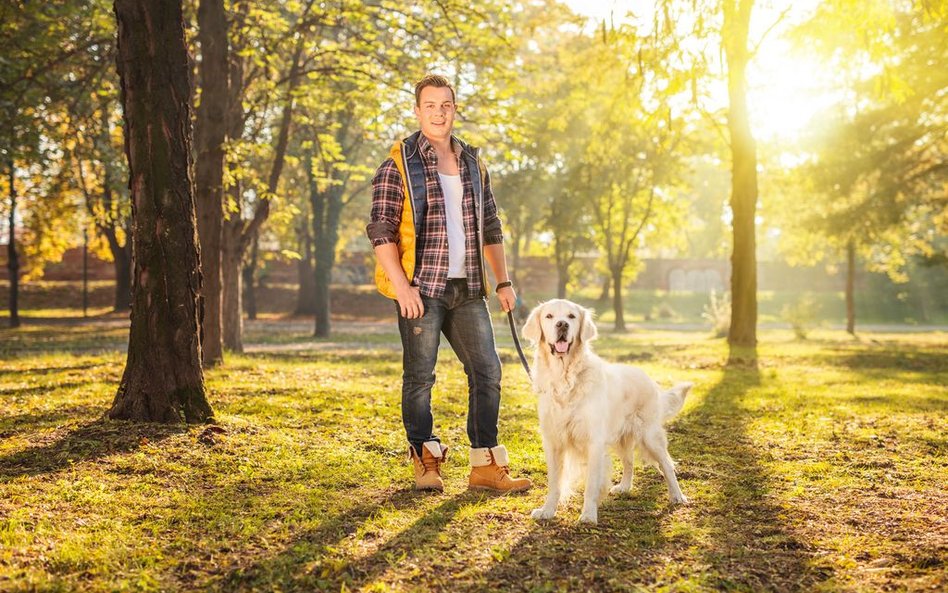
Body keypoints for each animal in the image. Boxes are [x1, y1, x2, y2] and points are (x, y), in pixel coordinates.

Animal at [524, 300, 692, 524]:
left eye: (571, 316)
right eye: (549, 316)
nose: (562, 325)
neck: (566, 379)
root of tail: (649, 379)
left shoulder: (594, 441)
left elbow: (591, 484)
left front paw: (588, 515)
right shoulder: (553, 441)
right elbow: (554, 483)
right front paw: (547, 511)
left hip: (649, 436)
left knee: (667, 464)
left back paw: (677, 496)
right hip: (621, 438)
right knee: (629, 462)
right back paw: (624, 487)